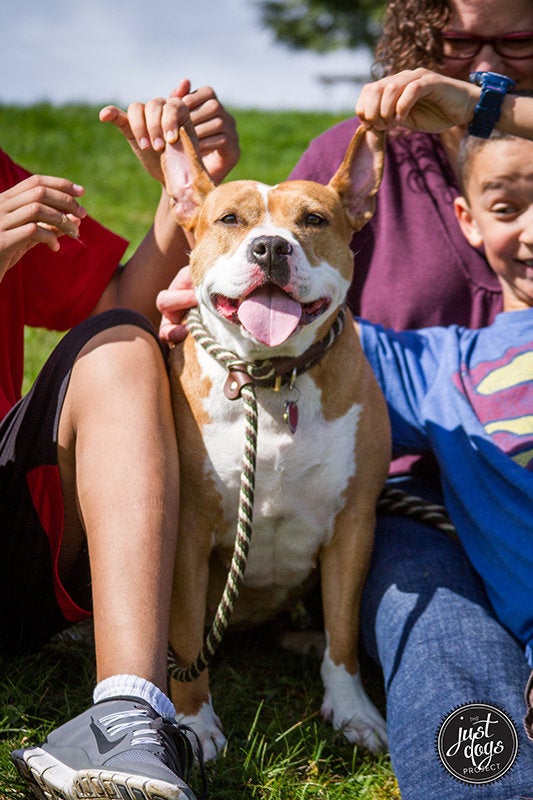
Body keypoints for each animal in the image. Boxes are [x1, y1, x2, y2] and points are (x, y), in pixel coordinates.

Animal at [162, 122, 390, 760]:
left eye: (313, 220)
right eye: (229, 219)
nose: (270, 248)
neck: (270, 379)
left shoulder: (353, 523)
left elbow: (345, 628)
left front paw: (352, 708)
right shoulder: (188, 532)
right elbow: (185, 634)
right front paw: (194, 722)